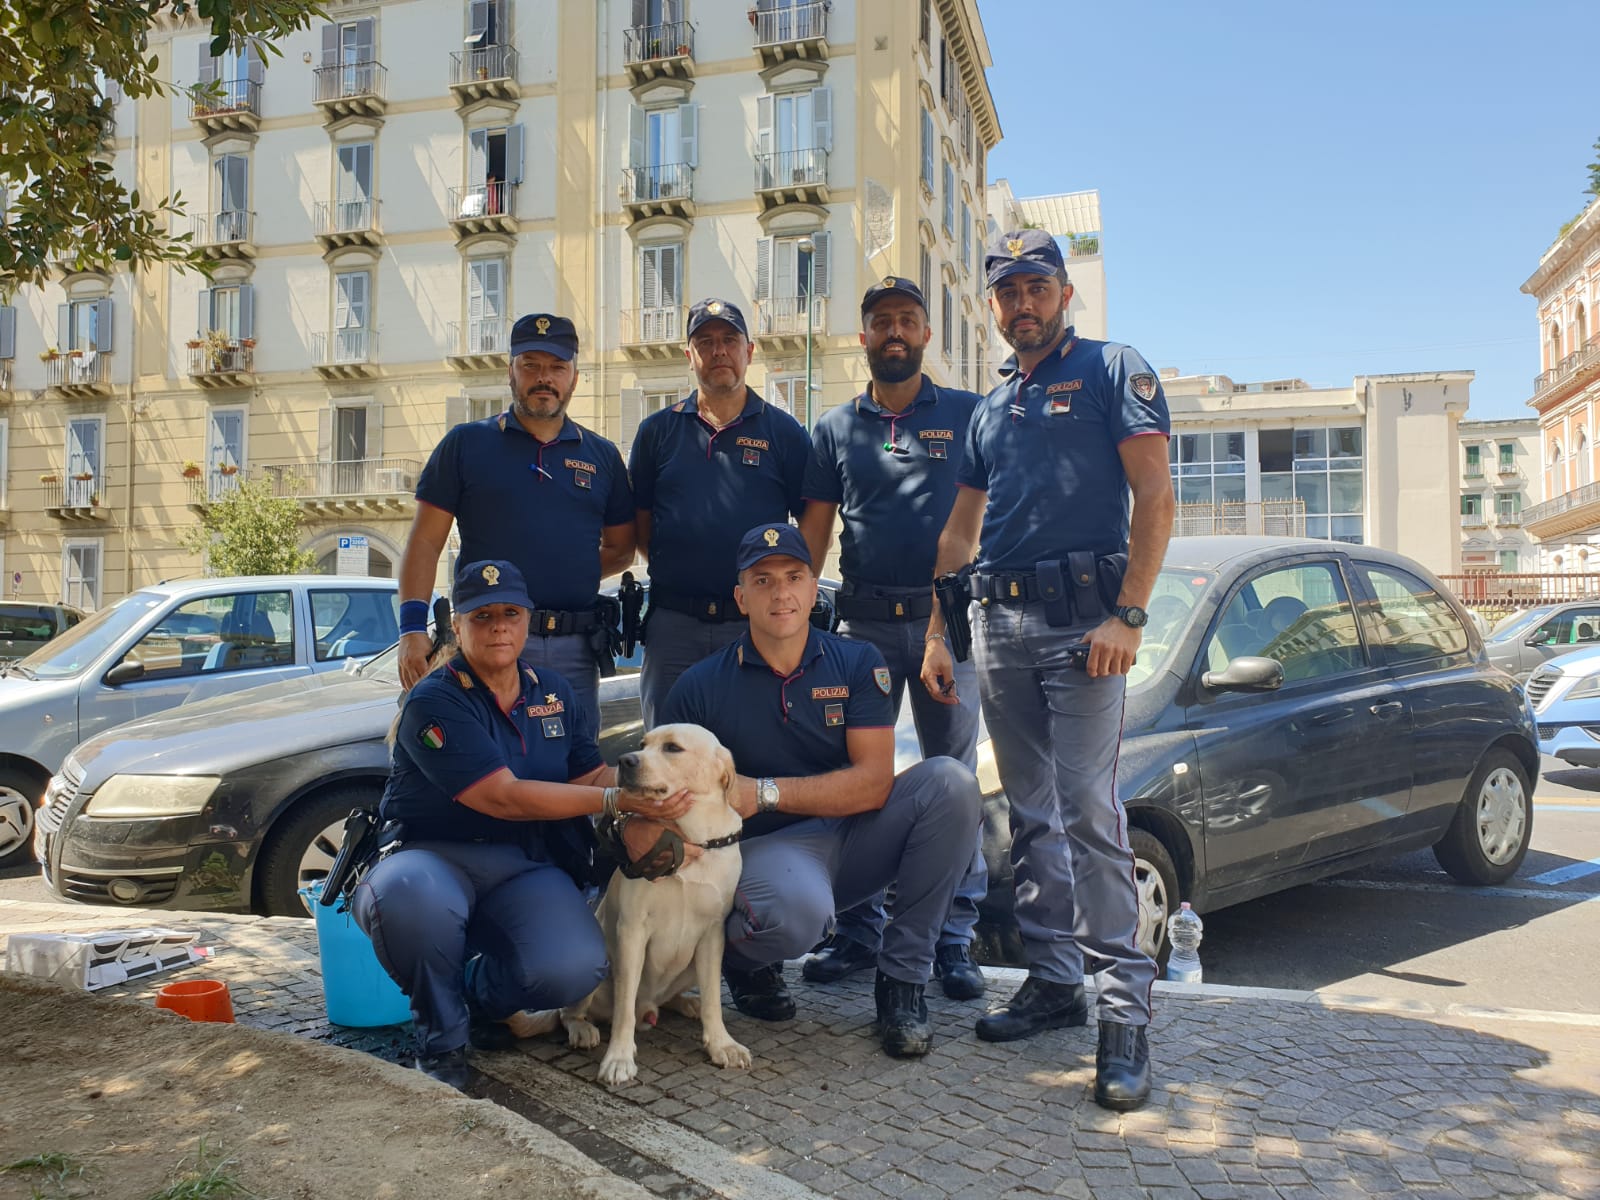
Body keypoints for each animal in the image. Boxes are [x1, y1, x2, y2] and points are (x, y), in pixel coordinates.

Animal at [515, 723, 758, 1088]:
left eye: (672, 748)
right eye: (643, 744)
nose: (625, 760)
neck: (687, 839)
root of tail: (650, 1007)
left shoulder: (713, 934)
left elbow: (715, 999)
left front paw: (720, 1043)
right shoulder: (632, 931)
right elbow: (624, 1009)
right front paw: (618, 1057)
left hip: (691, 965)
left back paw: (687, 1003)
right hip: (599, 966)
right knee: (569, 1012)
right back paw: (583, 1029)